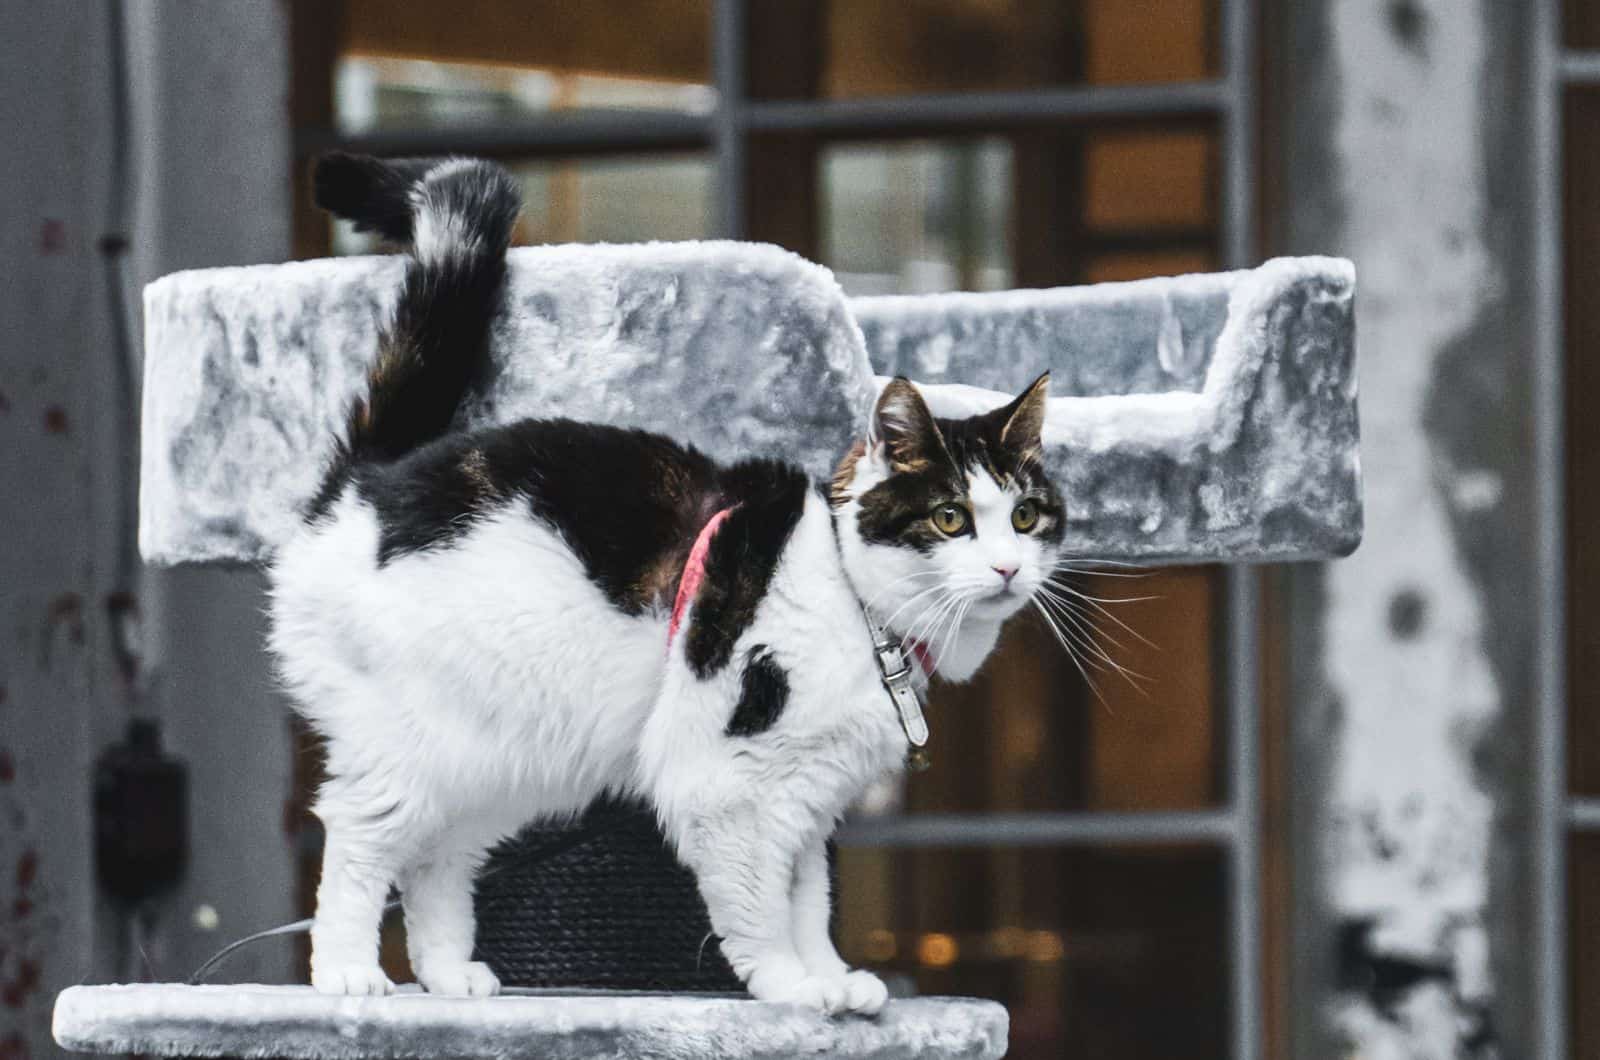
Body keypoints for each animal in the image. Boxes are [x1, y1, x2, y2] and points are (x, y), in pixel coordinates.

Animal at [270, 153, 1068, 1018]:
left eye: (1026, 516)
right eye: (951, 519)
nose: (1007, 568)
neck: (858, 609)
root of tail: (366, 485)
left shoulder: (807, 801)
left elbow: (808, 899)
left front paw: (830, 977)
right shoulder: (727, 785)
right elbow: (761, 906)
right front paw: (790, 986)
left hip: (508, 760)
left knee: (437, 857)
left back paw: (452, 977)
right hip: (414, 748)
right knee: (360, 834)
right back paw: (349, 973)